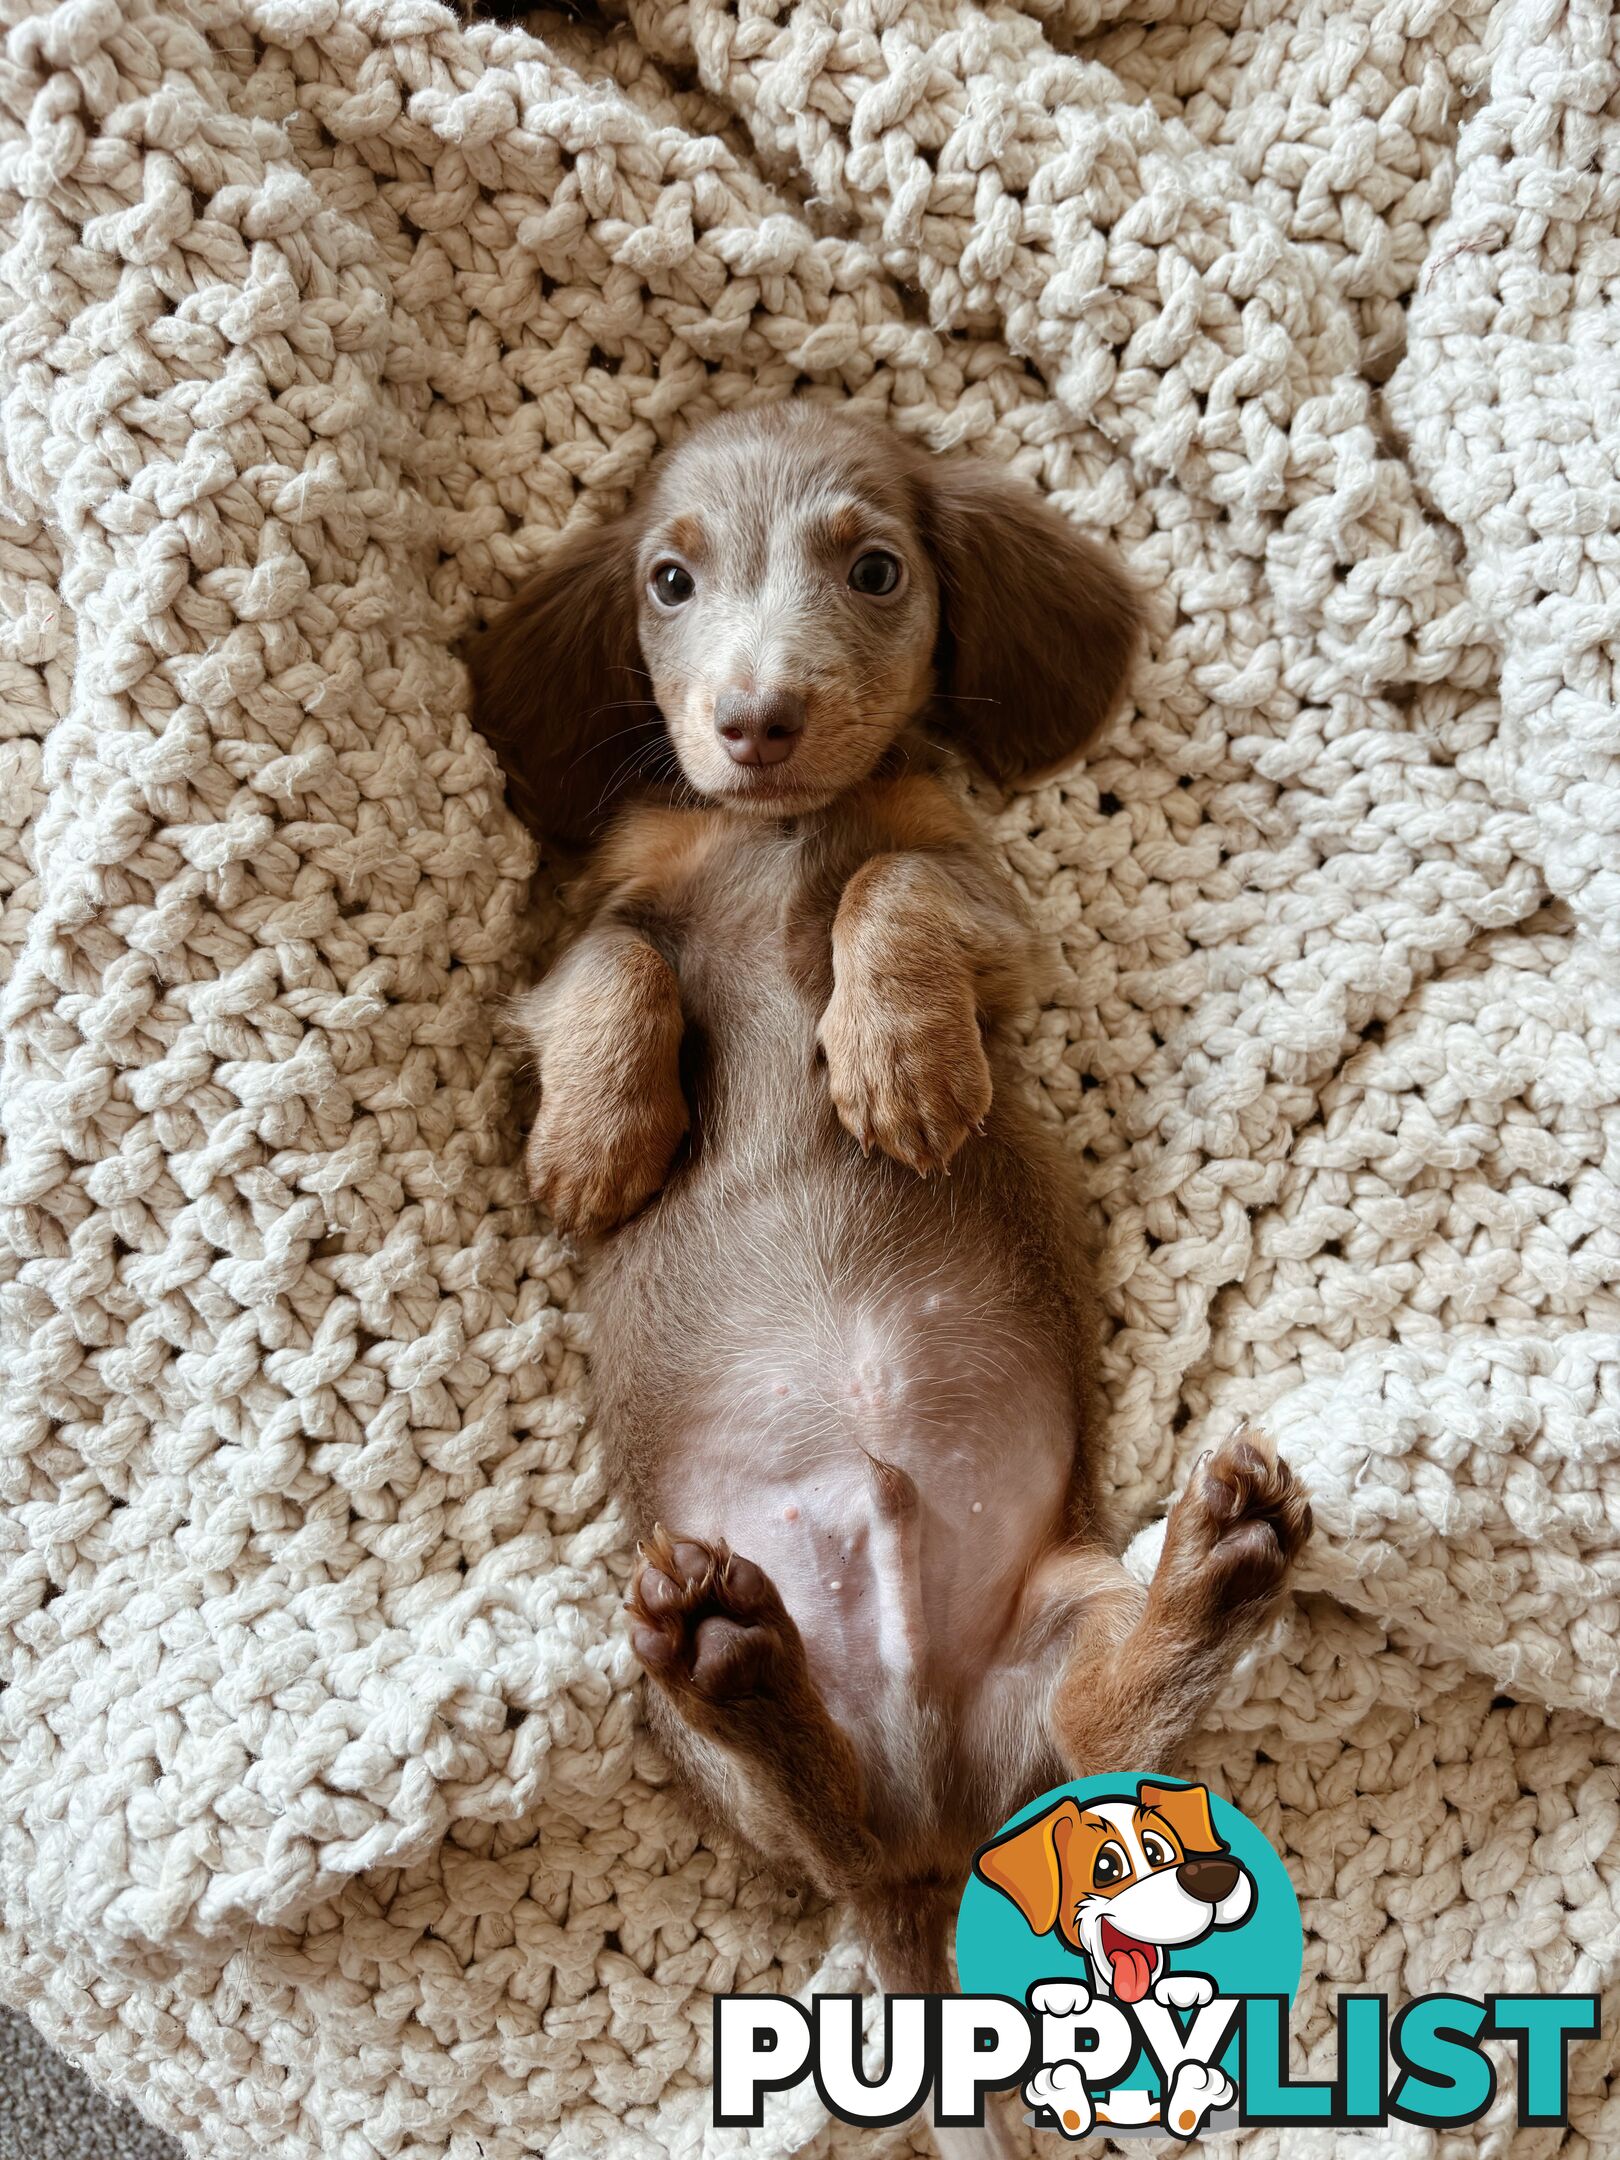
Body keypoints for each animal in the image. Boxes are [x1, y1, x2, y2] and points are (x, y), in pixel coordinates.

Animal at [466, 406, 1304, 2142]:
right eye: (667, 580)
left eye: (875, 568)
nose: (756, 722)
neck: (774, 830)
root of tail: (933, 1833)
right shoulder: (575, 934)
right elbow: (618, 961)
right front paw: (598, 1139)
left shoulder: (989, 908)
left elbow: (888, 890)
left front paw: (898, 1063)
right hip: (697, 1739)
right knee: (817, 1805)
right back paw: (741, 1663)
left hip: (1060, 1635)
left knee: (1105, 1716)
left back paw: (1220, 1567)